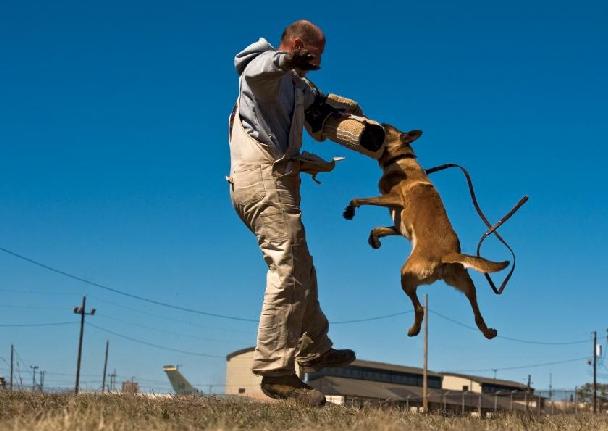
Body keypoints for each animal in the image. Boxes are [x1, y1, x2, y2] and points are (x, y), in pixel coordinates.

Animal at [342, 125, 508, 340]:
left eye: (386, 127)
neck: (402, 159)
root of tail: (447, 255)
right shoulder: (398, 227)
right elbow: (377, 229)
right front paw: (374, 240)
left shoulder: (394, 198)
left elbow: (359, 199)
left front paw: (350, 210)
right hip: (466, 284)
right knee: (476, 310)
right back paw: (487, 332)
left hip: (406, 275)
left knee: (420, 308)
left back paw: (414, 330)